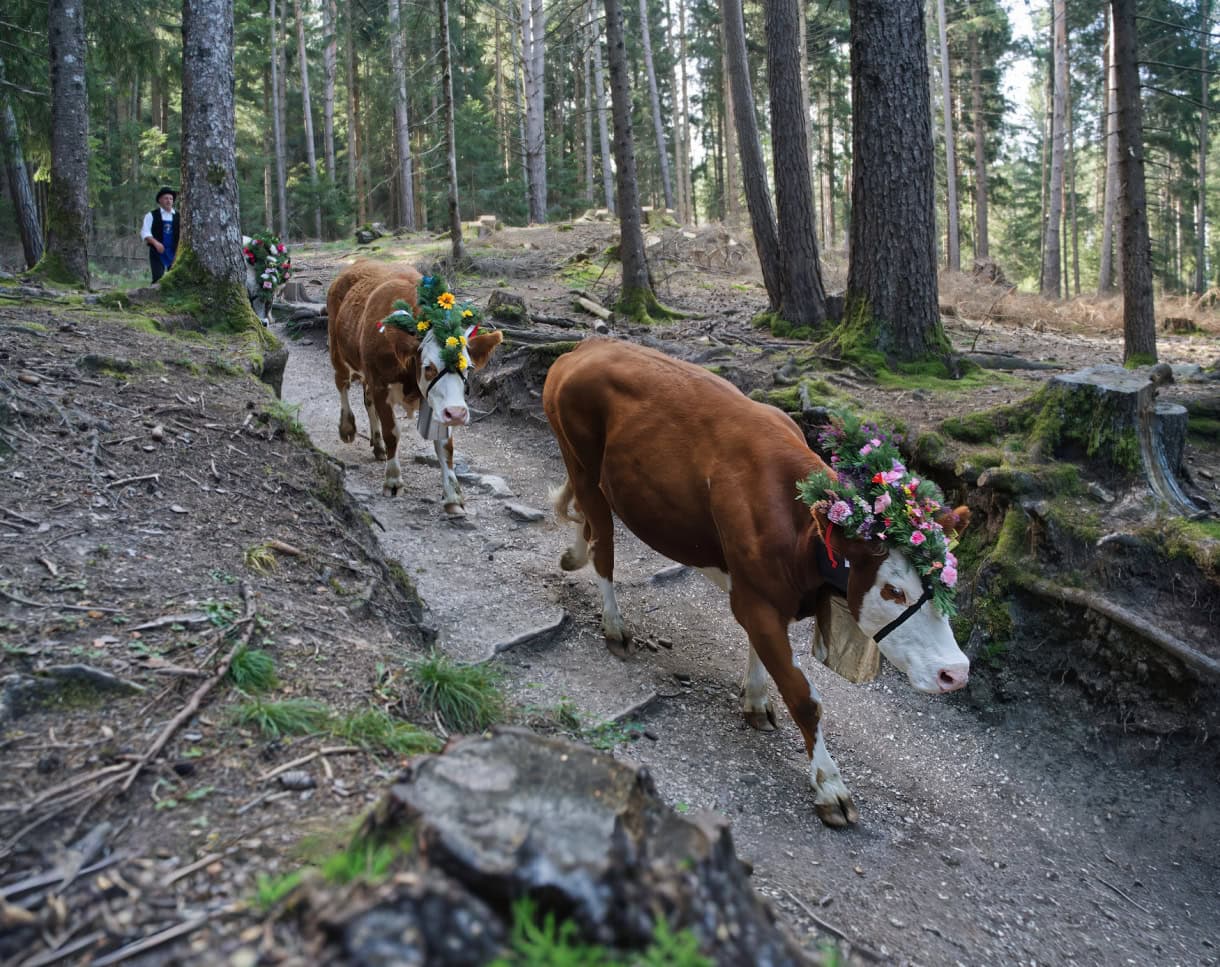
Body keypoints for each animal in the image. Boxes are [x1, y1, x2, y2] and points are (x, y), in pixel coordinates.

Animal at [327, 261, 503, 510]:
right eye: (428, 367)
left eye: (468, 367)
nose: (458, 413)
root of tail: (357, 264)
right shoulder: (381, 386)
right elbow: (392, 432)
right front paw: (393, 481)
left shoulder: (436, 402)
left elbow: (445, 445)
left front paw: (453, 495)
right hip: (337, 350)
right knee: (342, 384)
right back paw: (347, 428)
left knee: (367, 399)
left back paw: (377, 445)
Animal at [543, 338, 971, 828]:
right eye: (893, 590)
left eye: (947, 586)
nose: (956, 672)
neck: (801, 527)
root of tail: (589, 344)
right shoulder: (756, 599)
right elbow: (805, 698)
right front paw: (831, 787)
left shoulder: (762, 592)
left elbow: (761, 653)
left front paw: (755, 700)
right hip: (582, 460)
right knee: (604, 546)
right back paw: (613, 626)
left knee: (586, 525)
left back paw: (572, 555)